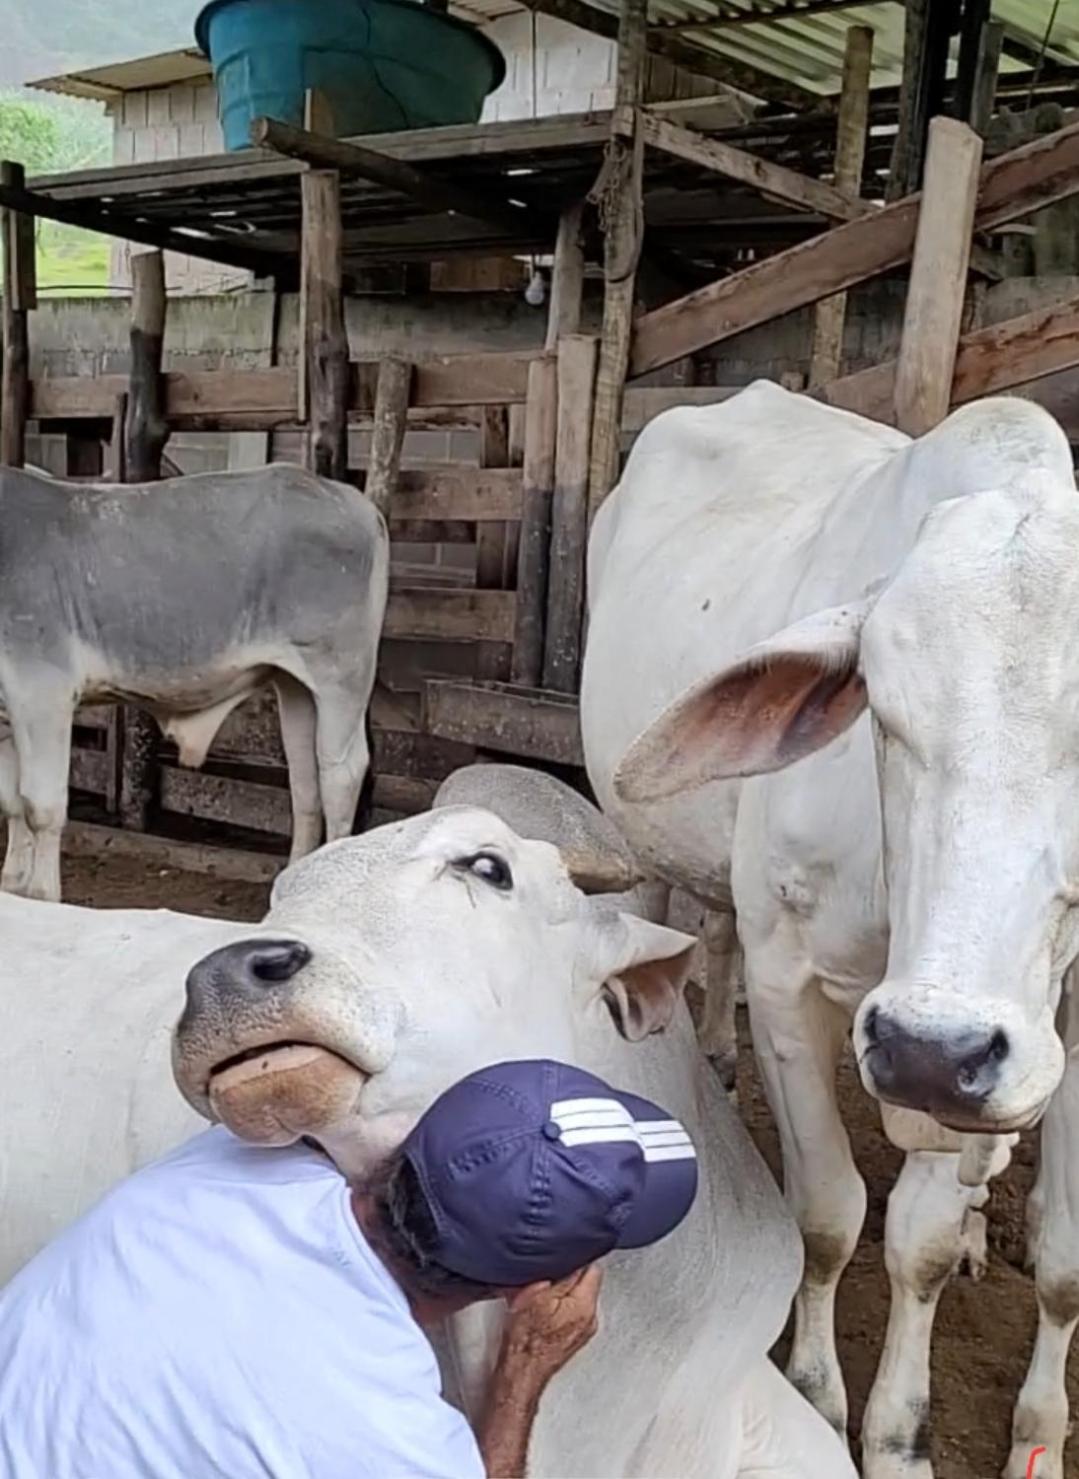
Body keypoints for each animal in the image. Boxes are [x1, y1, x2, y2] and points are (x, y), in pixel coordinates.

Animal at [0, 461, 384, 899]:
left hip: (342, 677)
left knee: (341, 776)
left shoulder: (42, 689)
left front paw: (42, 895)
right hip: (296, 686)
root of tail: (354, 501)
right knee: (306, 782)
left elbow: (40, 807)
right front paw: (12, 884)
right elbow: (11, 803)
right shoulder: (9, 711)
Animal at [579, 384, 1079, 1479]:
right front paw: (816, 1394)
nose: (930, 1045)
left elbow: (978, 1249)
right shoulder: (788, 981)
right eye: (881, 714)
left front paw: (948, 1433)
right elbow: (826, 1216)